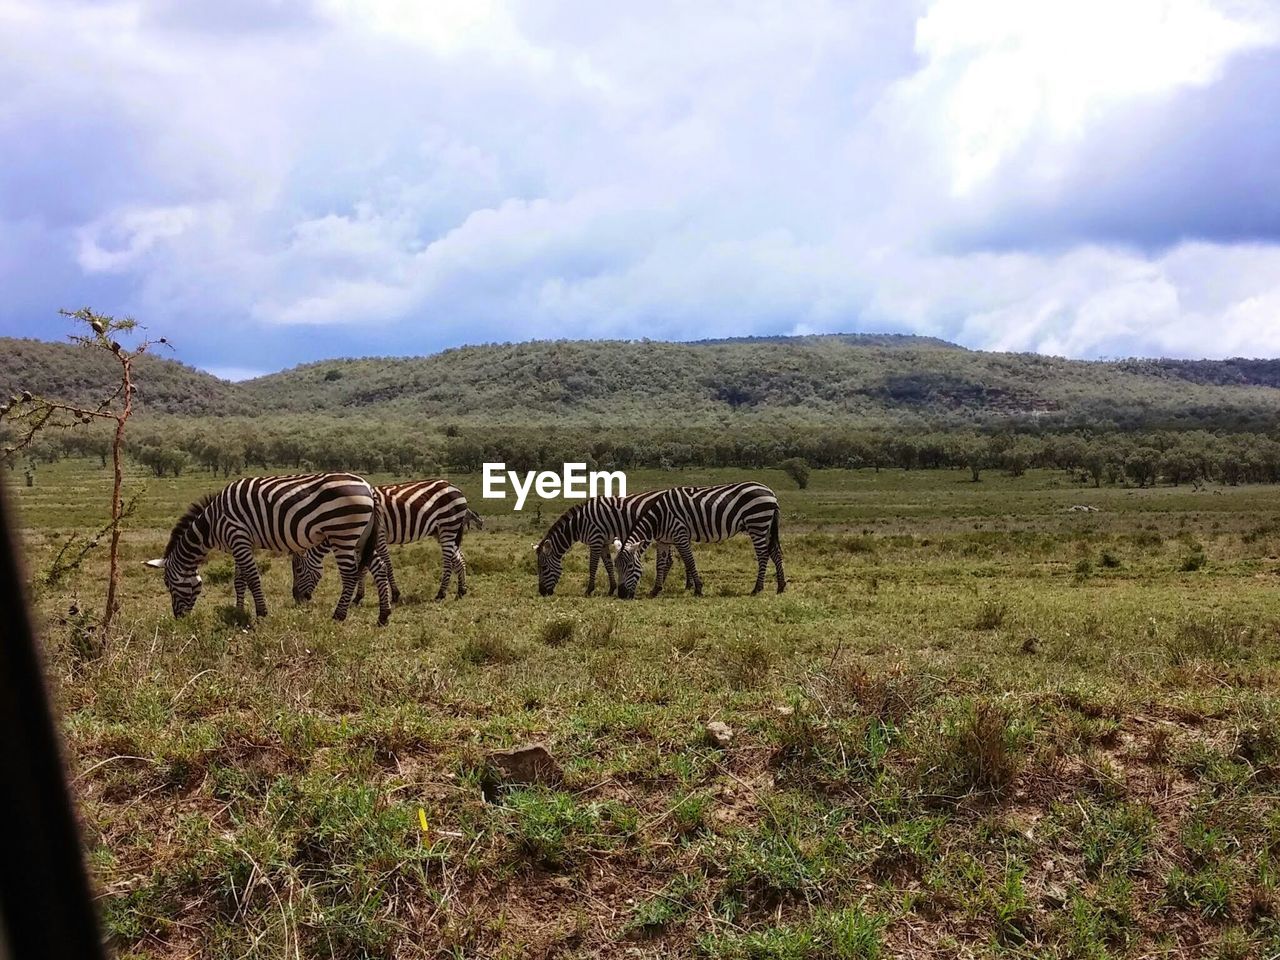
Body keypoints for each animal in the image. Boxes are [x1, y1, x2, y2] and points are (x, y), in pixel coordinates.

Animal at [142, 471, 386, 624]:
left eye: (168, 585)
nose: (178, 618)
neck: (211, 524)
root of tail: (368, 487)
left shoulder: (238, 536)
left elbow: (252, 577)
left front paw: (261, 613)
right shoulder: (240, 543)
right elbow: (239, 580)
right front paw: (239, 610)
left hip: (343, 533)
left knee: (350, 575)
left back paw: (339, 616)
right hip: (360, 536)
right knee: (379, 566)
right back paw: (384, 616)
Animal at [293, 483, 478, 604]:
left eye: (299, 571)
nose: (296, 598)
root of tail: (455, 487)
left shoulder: (378, 536)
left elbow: (386, 565)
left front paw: (395, 595)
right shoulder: (360, 543)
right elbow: (362, 567)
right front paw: (358, 597)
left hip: (448, 525)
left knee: (448, 560)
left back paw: (441, 593)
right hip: (442, 531)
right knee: (458, 557)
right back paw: (461, 591)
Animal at [532, 491, 691, 599]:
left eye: (543, 568)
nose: (542, 592)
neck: (579, 523)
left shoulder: (595, 539)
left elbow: (593, 566)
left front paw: (589, 590)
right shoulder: (603, 542)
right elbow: (608, 564)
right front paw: (611, 589)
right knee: (671, 560)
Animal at [609, 483, 778, 599]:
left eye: (630, 566)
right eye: (616, 566)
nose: (622, 595)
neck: (659, 518)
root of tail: (771, 492)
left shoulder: (680, 534)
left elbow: (689, 561)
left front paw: (698, 589)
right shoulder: (664, 540)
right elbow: (660, 565)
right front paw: (655, 590)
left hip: (757, 524)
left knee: (763, 555)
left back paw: (757, 588)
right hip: (765, 526)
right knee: (774, 552)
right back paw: (781, 586)